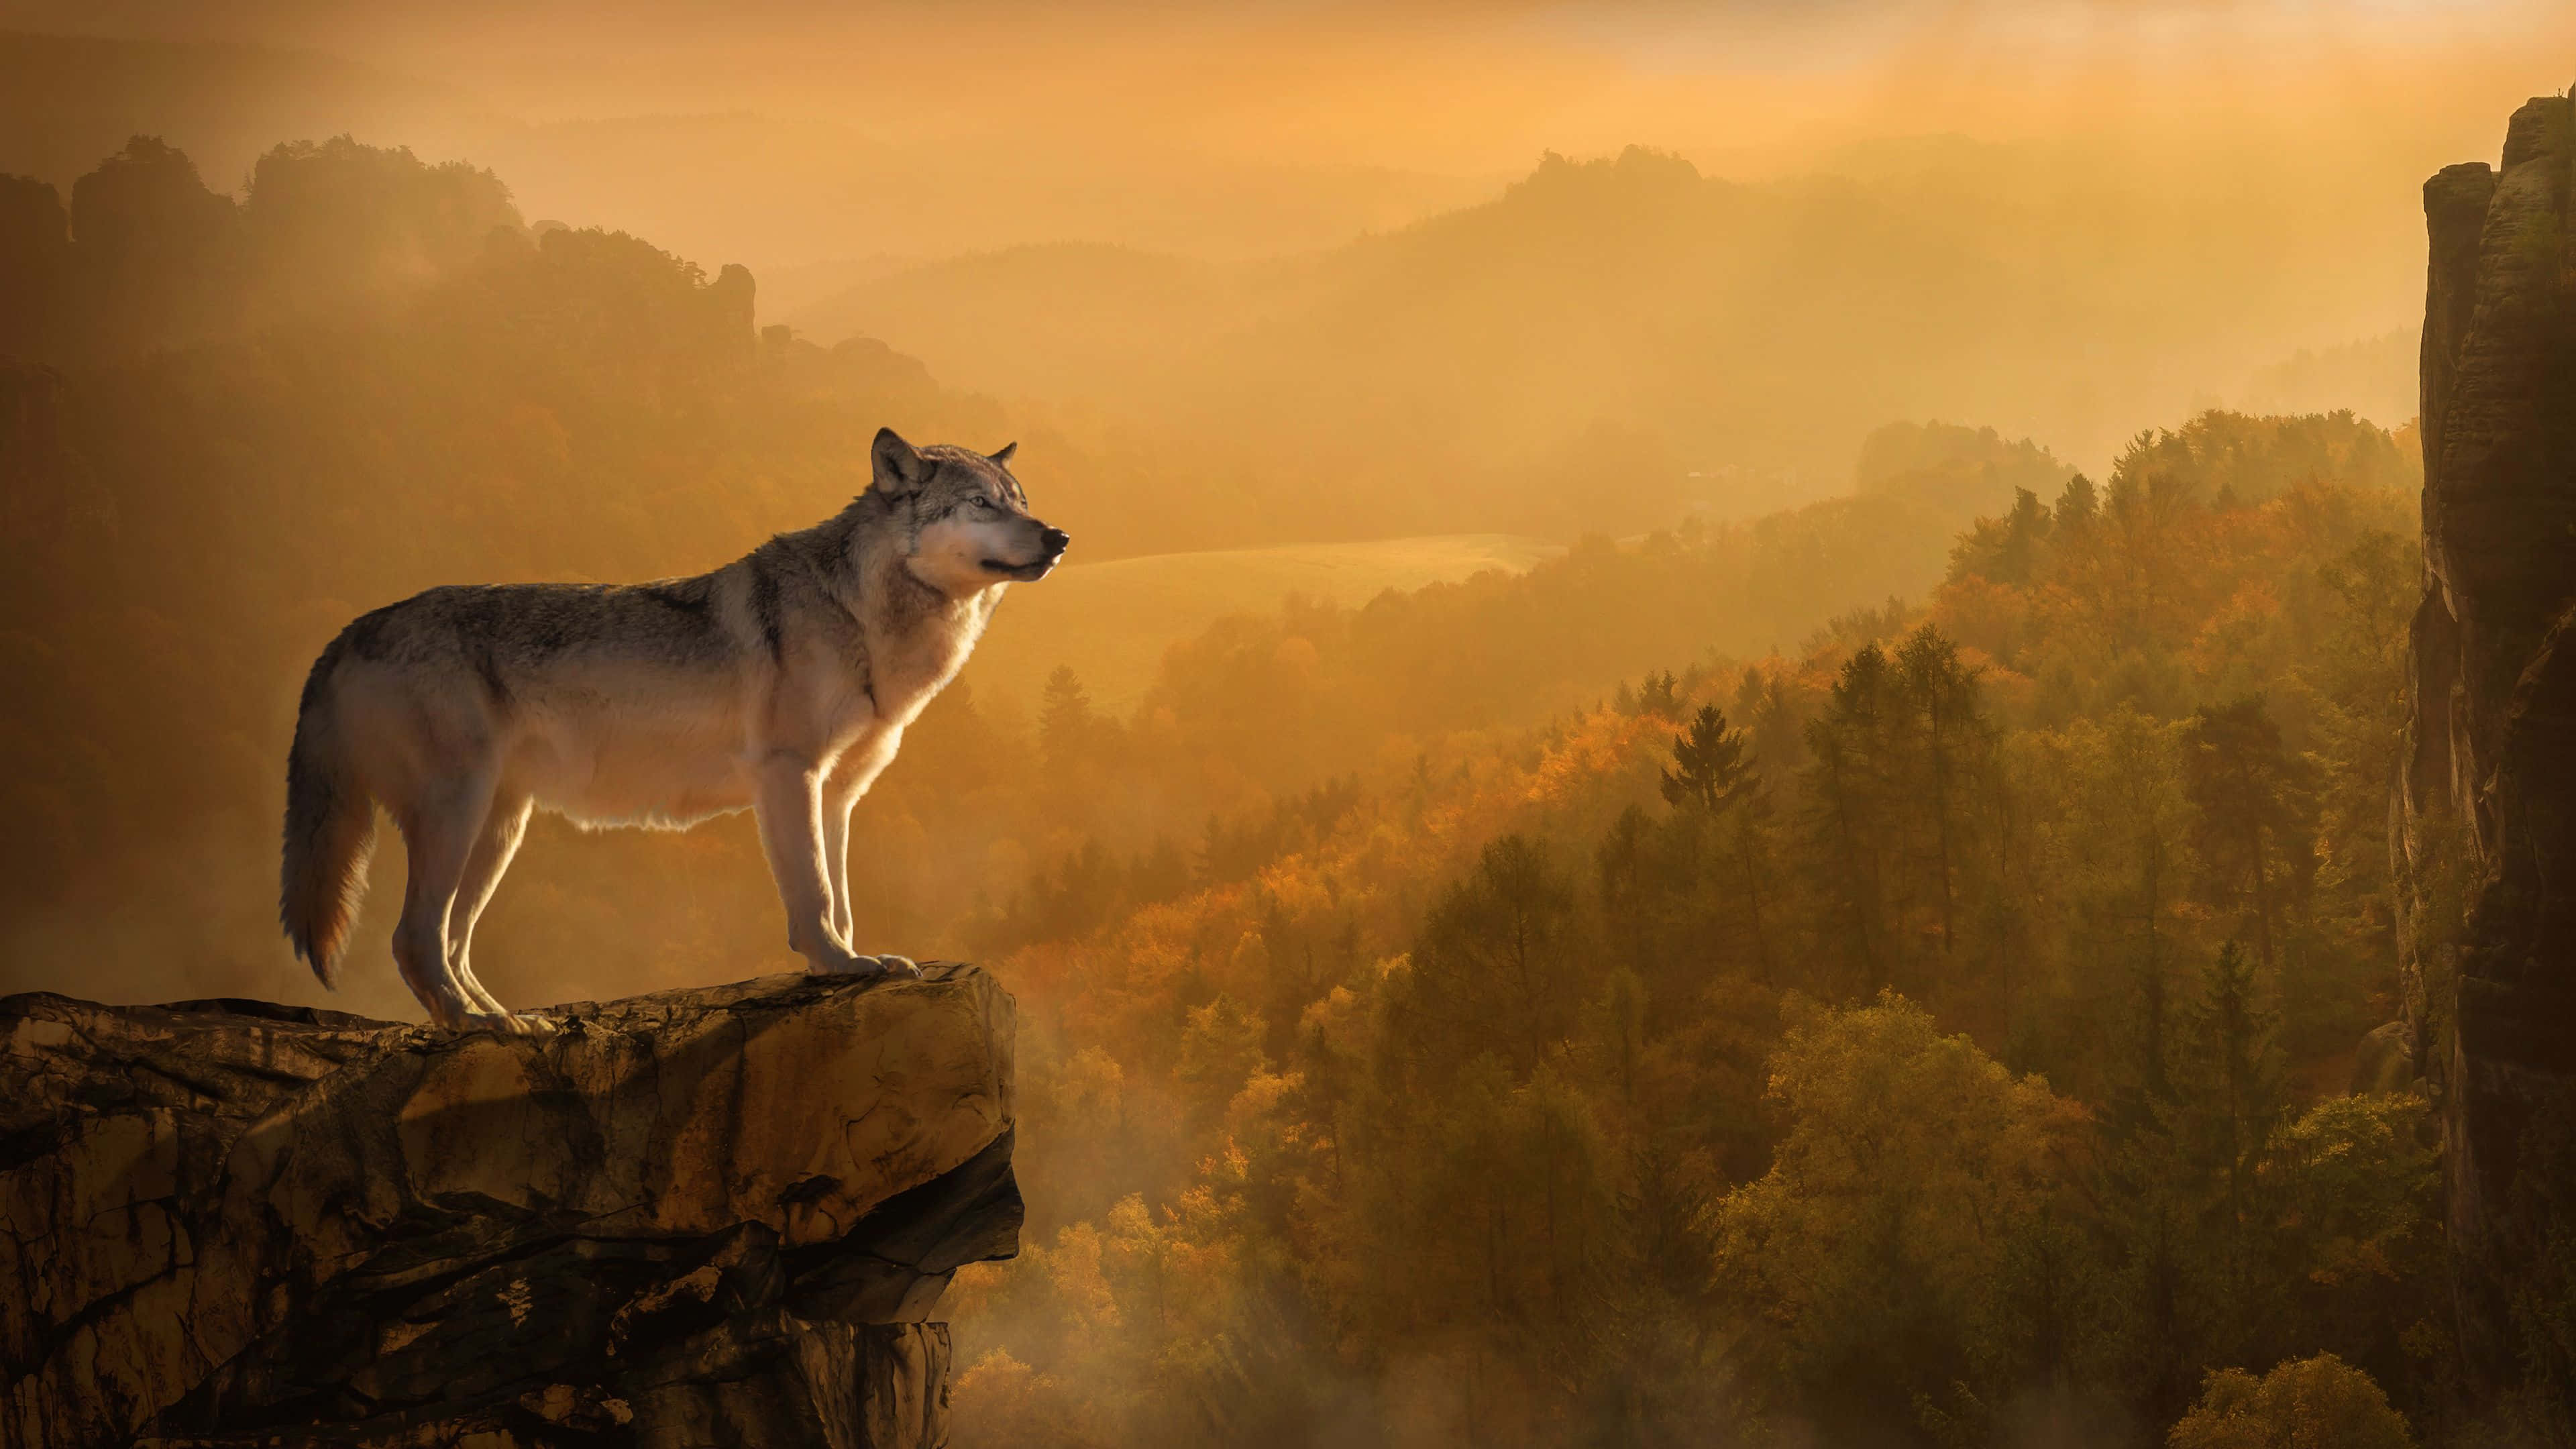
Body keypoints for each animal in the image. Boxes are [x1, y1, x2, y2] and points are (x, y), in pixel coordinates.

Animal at [279, 428, 1066, 1033]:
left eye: (1022, 501)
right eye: (981, 504)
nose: (1059, 536)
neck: (862, 614)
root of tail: (348, 632)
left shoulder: (838, 794)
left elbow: (840, 897)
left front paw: (854, 961)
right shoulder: (789, 775)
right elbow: (813, 896)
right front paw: (839, 965)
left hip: (500, 830)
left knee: (453, 942)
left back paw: (507, 1021)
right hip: (458, 815)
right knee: (415, 939)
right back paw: (475, 1025)